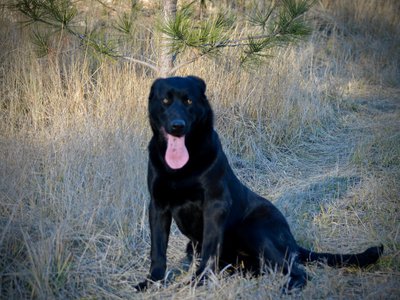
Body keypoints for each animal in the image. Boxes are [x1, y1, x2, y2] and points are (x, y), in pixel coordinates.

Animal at [136, 76, 382, 292]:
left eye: (188, 101)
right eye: (165, 101)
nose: (177, 126)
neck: (181, 168)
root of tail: (293, 241)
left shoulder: (214, 205)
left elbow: (209, 250)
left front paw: (199, 282)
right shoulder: (157, 206)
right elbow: (158, 250)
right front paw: (152, 282)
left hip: (253, 231)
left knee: (297, 271)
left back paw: (287, 288)